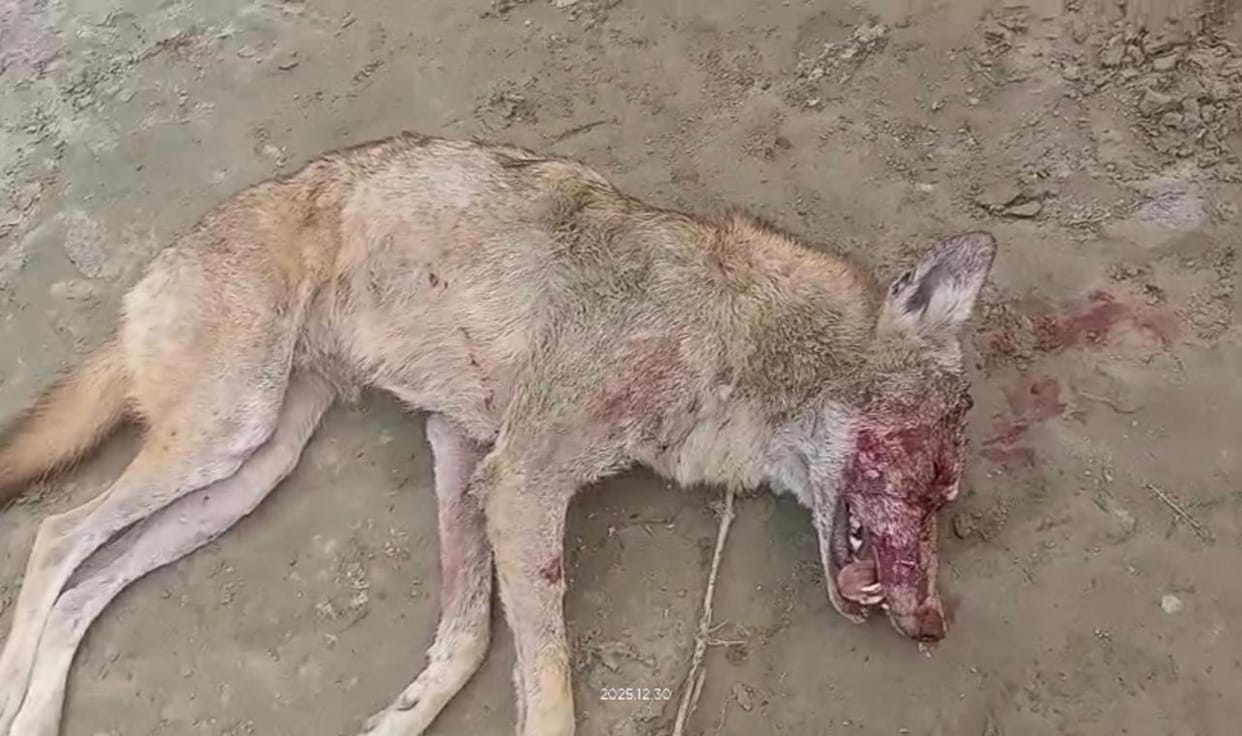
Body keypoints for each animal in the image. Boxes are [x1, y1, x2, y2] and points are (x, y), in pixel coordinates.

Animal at [0, 132, 995, 736]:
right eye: (938, 474)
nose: (936, 625)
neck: (733, 331)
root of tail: (163, 261)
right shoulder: (521, 481)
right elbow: (548, 687)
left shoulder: (464, 451)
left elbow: (468, 637)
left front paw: (402, 713)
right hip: (225, 432)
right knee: (55, 537)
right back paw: (16, 691)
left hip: (248, 473)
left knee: (88, 584)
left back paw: (39, 711)